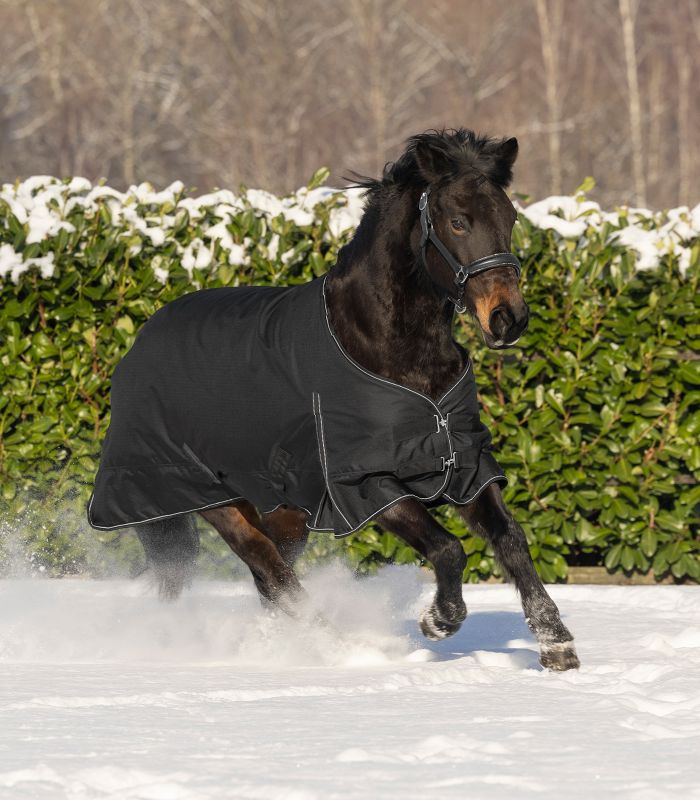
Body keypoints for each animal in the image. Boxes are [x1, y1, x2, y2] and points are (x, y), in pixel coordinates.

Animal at [95, 128, 584, 672]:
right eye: (458, 220)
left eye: (510, 218)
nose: (508, 319)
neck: (387, 344)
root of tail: (138, 346)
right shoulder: (366, 484)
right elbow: (448, 548)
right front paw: (439, 620)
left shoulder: (464, 465)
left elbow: (511, 540)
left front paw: (556, 644)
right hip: (206, 497)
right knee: (271, 571)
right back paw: (335, 648)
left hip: (284, 511)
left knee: (269, 578)